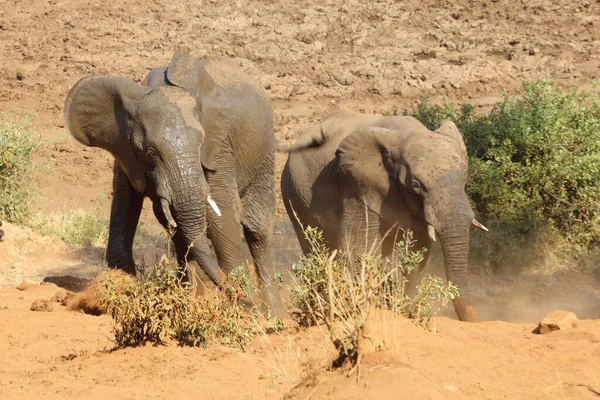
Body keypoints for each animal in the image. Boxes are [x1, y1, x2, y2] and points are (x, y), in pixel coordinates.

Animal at [63, 52, 286, 316]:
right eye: (150, 152)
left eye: (201, 144)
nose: (248, 301)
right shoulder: (124, 150)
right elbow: (124, 204)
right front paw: (115, 293)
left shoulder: (219, 147)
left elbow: (222, 209)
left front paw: (248, 312)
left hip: (264, 151)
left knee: (257, 227)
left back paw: (276, 315)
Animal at [278, 109, 486, 322]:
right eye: (416, 186)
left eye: (464, 178)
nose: (471, 322)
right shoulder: (357, 186)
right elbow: (358, 249)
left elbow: (419, 251)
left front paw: (406, 313)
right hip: (293, 190)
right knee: (315, 249)